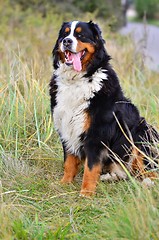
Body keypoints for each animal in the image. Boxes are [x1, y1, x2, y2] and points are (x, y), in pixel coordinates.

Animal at [49, 20, 158, 197]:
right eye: (64, 34)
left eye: (80, 35)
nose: (67, 41)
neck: (77, 80)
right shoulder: (66, 126)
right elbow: (69, 161)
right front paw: (64, 183)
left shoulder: (96, 132)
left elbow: (91, 167)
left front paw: (86, 192)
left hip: (142, 133)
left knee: (151, 171)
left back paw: (148, 183)